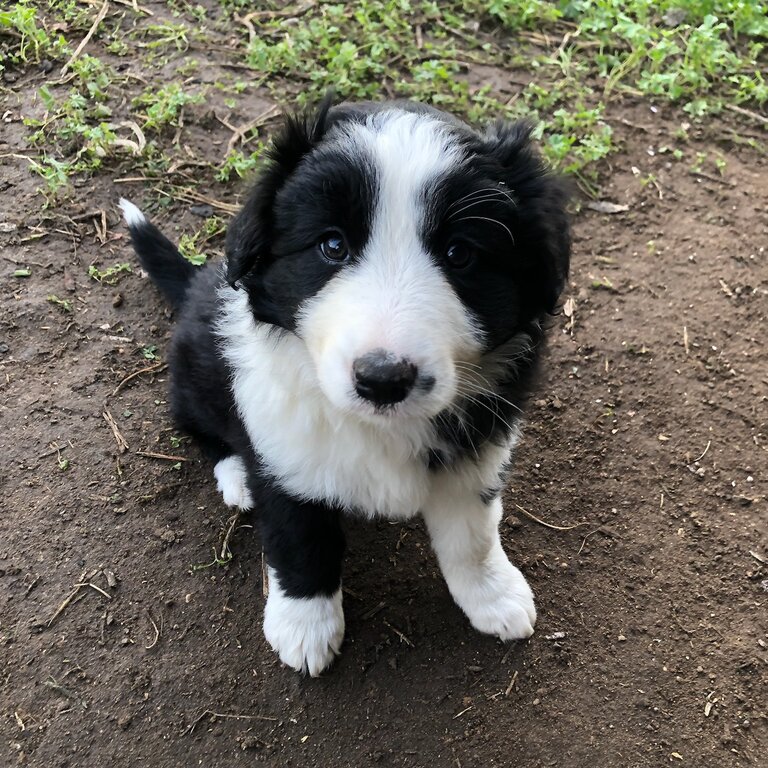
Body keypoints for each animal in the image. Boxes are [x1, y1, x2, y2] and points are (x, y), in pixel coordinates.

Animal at [117, 94, 568, 672]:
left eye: (460, 254)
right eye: (332, 245)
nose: (383, 379)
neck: (380, 427)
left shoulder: (477, 449)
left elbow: (473, 536)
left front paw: (493, 595)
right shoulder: (284, 449)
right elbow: (299, 539)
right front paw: (305, 626)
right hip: (198, 373)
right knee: (200, 428)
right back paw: (236, 476)